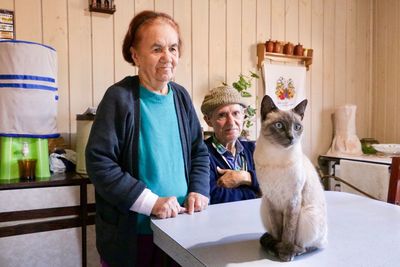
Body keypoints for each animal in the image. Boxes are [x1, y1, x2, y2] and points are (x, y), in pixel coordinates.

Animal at [255, 95, 326, 262]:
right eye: (279, 125)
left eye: (297, 127)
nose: (291, 137)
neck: (276, 156)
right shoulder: (271, 199)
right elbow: (278, 231)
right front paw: (276, 246)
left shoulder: (293, 200)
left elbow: (288, 232)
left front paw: (285, 252)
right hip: (263, 205)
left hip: (308, 214)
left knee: (309, 246)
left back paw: (294, 251)